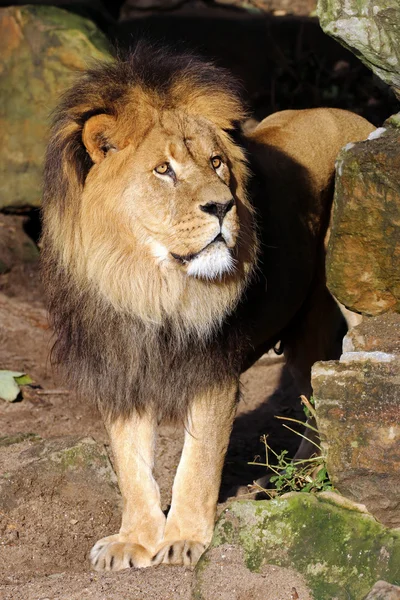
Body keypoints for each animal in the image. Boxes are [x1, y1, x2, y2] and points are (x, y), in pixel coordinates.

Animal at [40, 44, 376, 568]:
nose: (223, 206)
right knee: (315, 392)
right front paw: (135, 538)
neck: (148, 284)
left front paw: (183, 539)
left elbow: (196, 464)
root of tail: (354, 116)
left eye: (217, 163)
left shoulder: (212, 370)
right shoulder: (121, 367)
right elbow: (131, 463)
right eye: (163, 170)